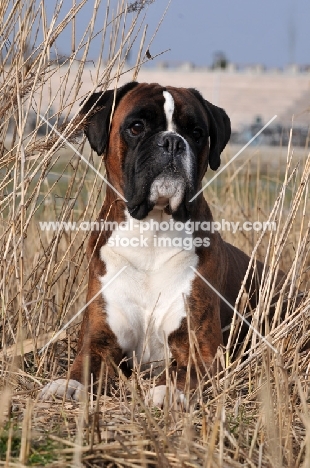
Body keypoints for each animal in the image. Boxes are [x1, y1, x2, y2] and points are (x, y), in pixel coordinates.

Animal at [40, 82, 280, 404]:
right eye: (136, 127)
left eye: (196, 132)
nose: (172, 142)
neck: (151, 233)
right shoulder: (99, 340)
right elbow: (82, 366)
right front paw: (65, 385)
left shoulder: (202, 350)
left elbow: (183, 372)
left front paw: (167, 390)